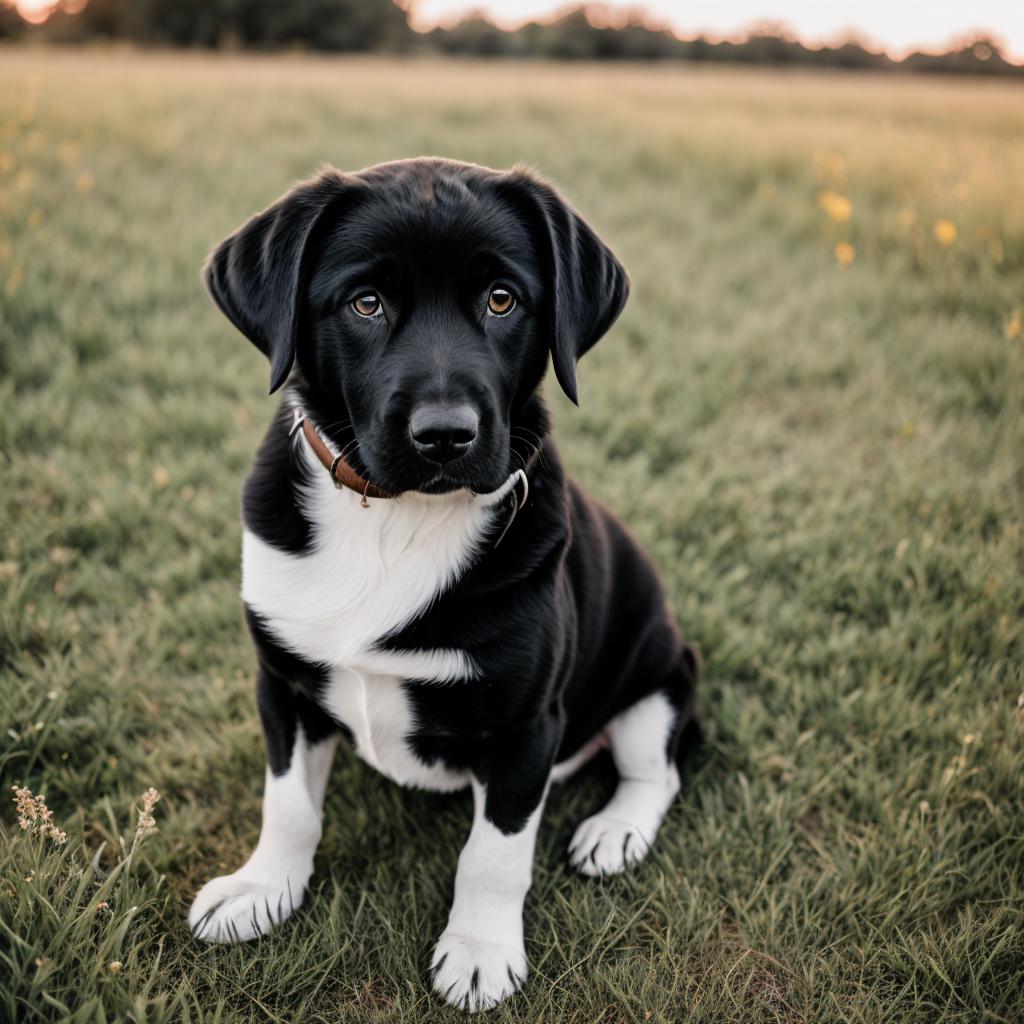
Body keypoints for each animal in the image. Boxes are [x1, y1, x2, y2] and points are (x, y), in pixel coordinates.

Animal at [188, 155, 700, 1011]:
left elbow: (494, 853)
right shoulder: (282, 682)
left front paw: (480, 951)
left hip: (657, 669)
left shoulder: (527, 723)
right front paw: (262, 889)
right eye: (365, 302)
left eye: (502, 299)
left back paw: (613, 832)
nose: (445, 437)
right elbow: (287, 803)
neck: (397, 522)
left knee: (653, 767)